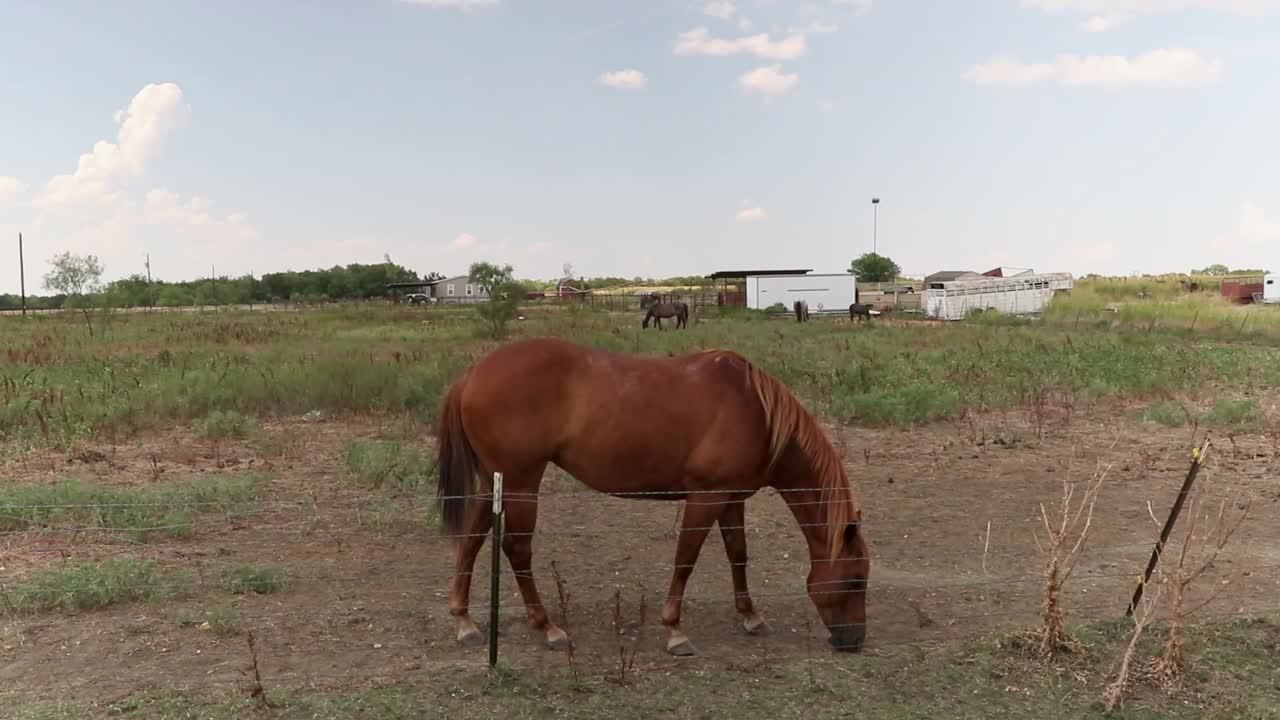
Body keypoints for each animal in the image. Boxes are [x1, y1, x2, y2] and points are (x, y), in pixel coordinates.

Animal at [436, 338, 870, 656]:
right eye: (854, 580)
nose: (854, 640)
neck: (756, 412)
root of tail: (471, 375)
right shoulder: (706, 497)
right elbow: (686, 558)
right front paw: (675, 629)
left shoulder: (732, 498)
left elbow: (738, 553)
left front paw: (750, 616)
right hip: (521, 482)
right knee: (516, 549)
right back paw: (547, 627)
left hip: (494, 482)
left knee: (471, 541)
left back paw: (464, 620)